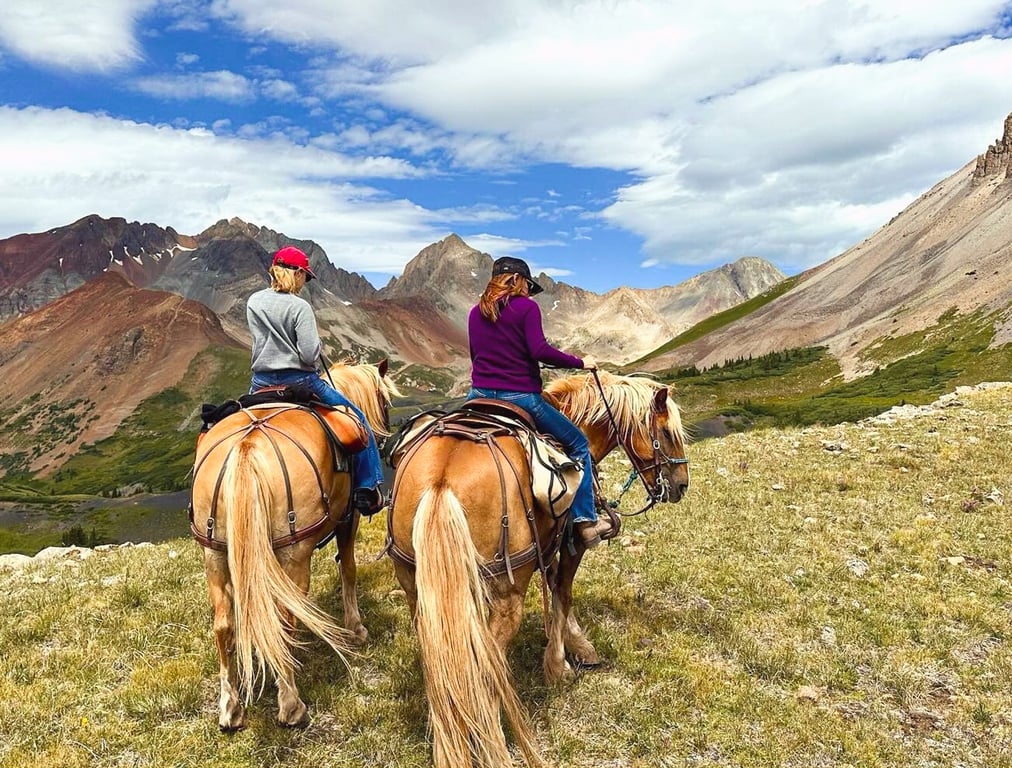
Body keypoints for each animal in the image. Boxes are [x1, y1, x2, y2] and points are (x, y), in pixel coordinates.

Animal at [189, 360, 398, 732]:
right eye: (385, 402)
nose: (387, 438)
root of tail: (247, 446)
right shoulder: (348, 519)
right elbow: (348, 569)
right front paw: (356, 628)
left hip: (213, 552)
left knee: (224, 625)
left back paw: (231, 709)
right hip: (294, 552)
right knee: (285, 621)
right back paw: (291, 706)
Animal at [384, 372, 688, 768]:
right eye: (666, 432)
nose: (681, 485)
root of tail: (441, 479)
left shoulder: (548, 544)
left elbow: (556, 586)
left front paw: (577, 645)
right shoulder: (573, 539)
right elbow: (563, 591)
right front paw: (560, 665)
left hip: (417, 588)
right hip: (505, 595)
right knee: (485, 668)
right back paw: (494, 746)